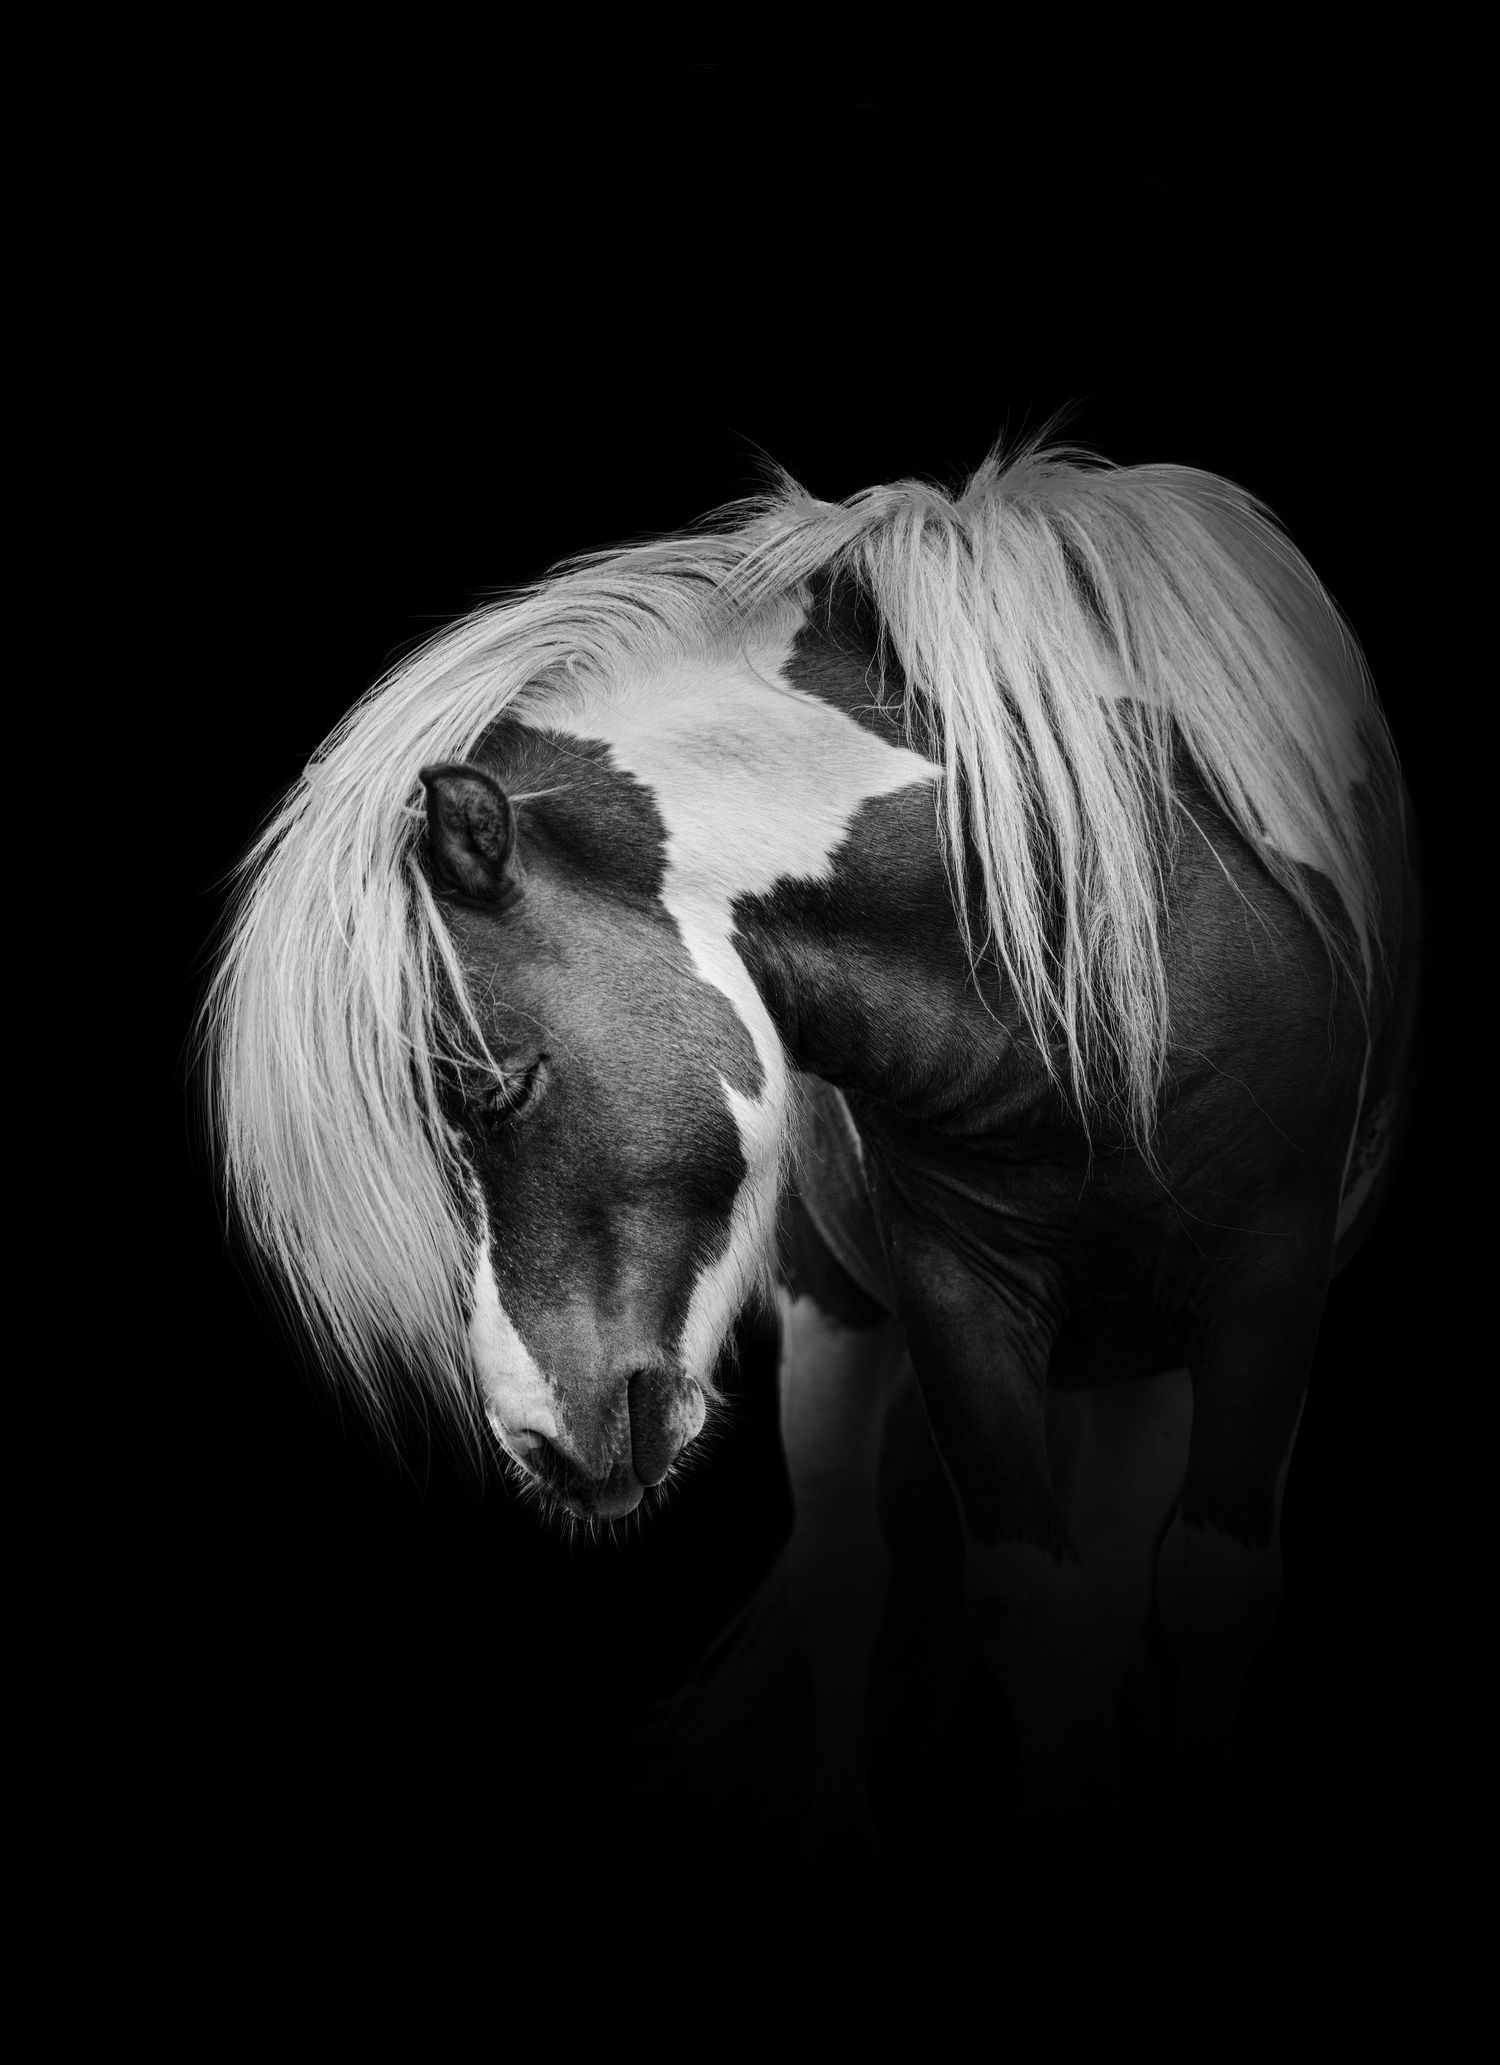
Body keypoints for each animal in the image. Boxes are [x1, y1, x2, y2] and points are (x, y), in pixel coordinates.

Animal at [199, 437, 1420, 1928]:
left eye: (499, 1087)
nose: (542, 1439)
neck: (1102, 940)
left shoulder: (1267, 1281)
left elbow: (1204, 1594)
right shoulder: (957, 1292)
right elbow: (1038, 1606)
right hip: (840, 1318)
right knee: (850, 1583)